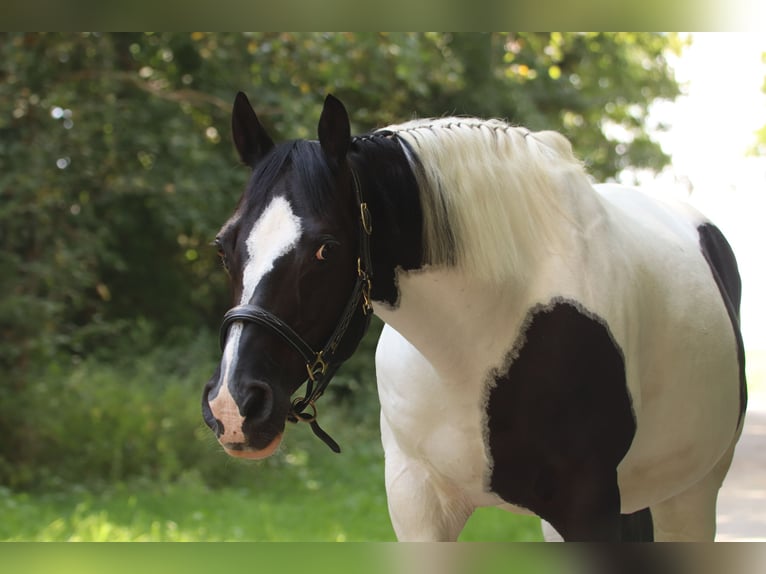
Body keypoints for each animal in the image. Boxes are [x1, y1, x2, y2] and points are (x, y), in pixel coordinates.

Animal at [202, 92, 746, 541]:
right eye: (223, 245)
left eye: (326, 249)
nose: (233, 405)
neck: (475, 348)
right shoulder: (417, 503)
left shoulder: (591, 511)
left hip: (691, 495)